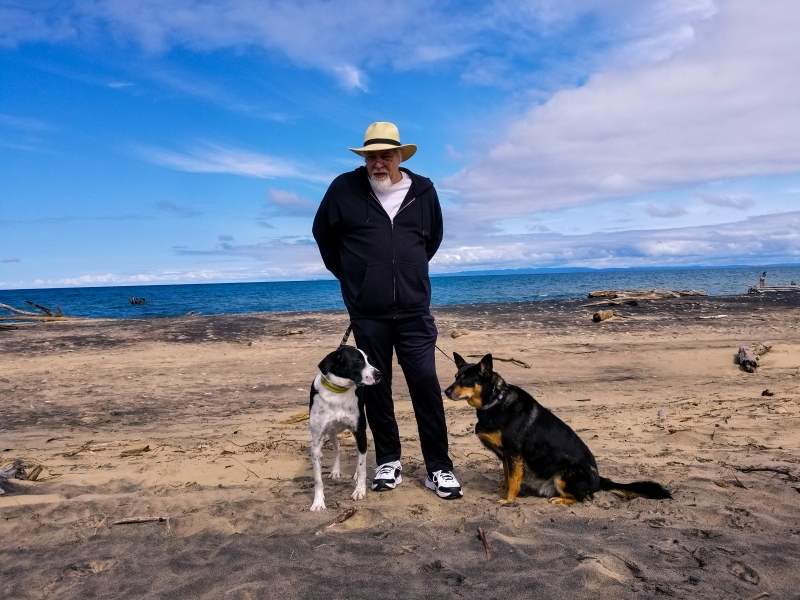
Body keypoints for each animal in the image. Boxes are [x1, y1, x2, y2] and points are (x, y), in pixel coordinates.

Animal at [310, 346, 382, 510]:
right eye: (358, 361)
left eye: (368, 360)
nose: (379, 374)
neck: (338, 391)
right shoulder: (317, 441)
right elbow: (318, 480)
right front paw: (318, 502)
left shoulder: (360, 432)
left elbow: (362, 466)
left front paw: (360, 490)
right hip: (331, 431)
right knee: (337, 449)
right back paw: (335, 471)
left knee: (359, 455)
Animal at [440, 354, 672, 504]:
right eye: (455, 377)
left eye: (466, 380)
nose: (446, 391)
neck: (496, 402)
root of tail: (598, 481)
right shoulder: (506, 457)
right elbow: (507, 477)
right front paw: (502, 491)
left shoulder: (514, 454)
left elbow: (513, 480)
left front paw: (509, 500)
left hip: (564, 476)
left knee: (584, 498)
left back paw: (560, 501)